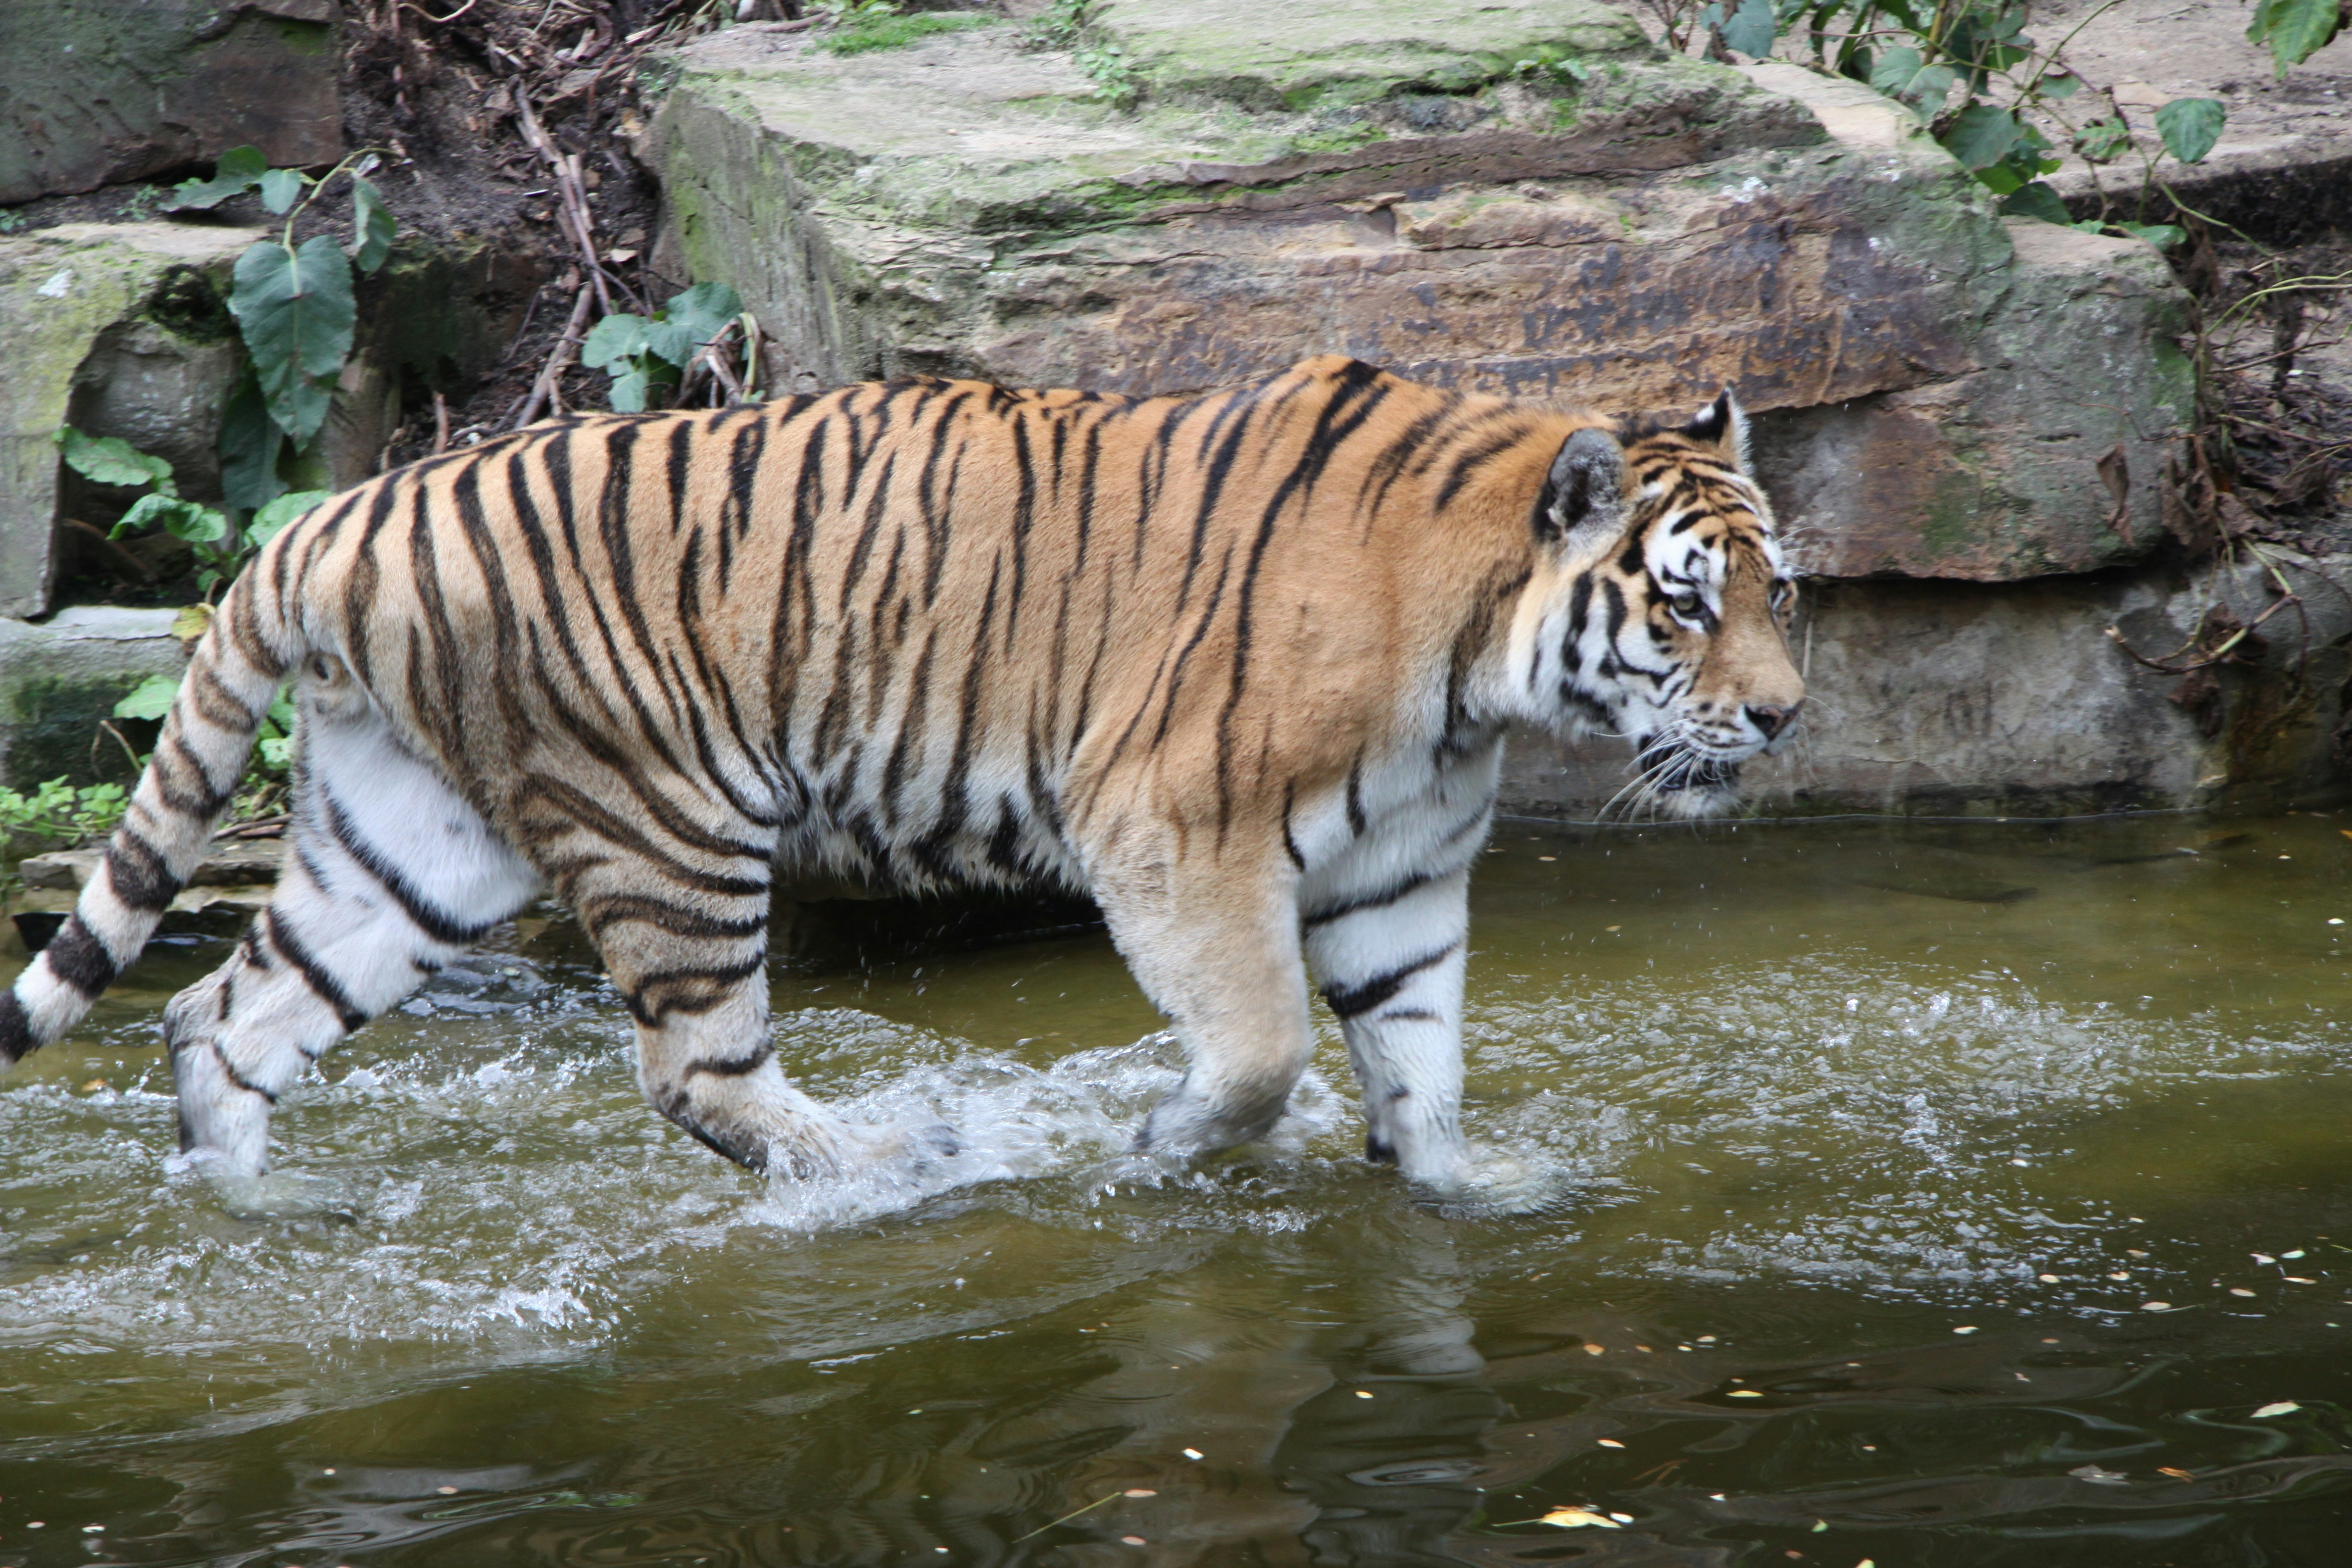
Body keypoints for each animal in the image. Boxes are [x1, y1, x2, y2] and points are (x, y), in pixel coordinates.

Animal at [0, 354, 1802, 1199]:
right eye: (1681, 603)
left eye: (1780, 591)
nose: (1786, 719)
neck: (1477, 680)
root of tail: (332, 515)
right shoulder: (1175, 828)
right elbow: (1264, 1047)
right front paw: (1163, 1146)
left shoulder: (1403, 875)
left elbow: (1418, 1065)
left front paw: (1467, 1192)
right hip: (668, 821)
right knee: (696, 1073)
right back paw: (900, 1164)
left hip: (415, 842)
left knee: (217, 1014)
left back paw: (248, 1209)